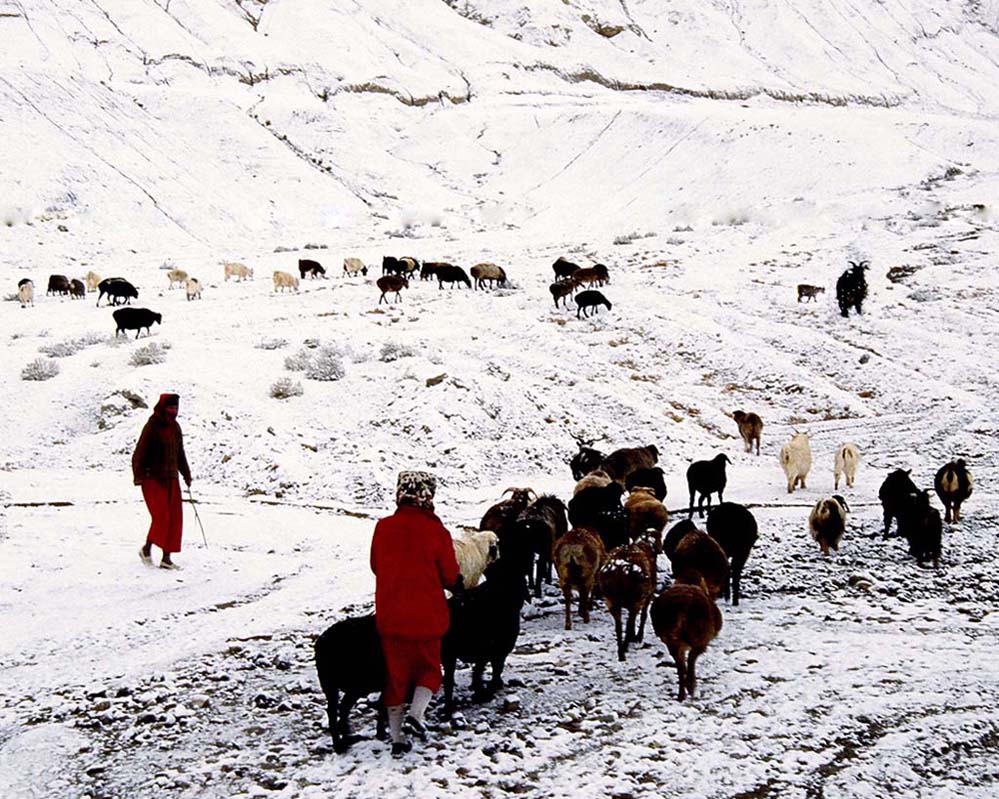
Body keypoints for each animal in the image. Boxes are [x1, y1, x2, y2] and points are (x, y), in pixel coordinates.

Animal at [314, 616, 388, 752]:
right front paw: (381, 733)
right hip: (354, 685)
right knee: (340, 709)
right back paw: (342, 742)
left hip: (330, 684)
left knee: (336, 710)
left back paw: (342, 741)